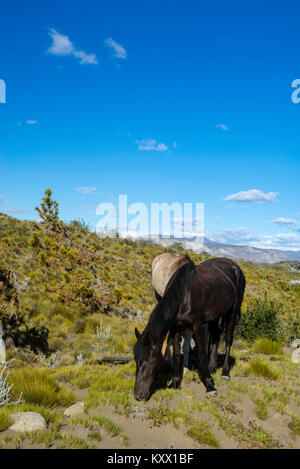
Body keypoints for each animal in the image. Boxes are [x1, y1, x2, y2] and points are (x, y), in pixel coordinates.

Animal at [134, 256, 246, 398]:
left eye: (152, 360)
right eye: (136, 359)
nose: (138, 395)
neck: (184, 294)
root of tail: (234, 266)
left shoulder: (198, 325)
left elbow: (202, 353)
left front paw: (210, 385)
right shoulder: (175, 327)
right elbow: (177, 353)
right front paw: (175, 382)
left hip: (233, 310)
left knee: (228, 339)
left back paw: (225, 372)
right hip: (215, 316)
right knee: (216, 336)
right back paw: (212, 367)